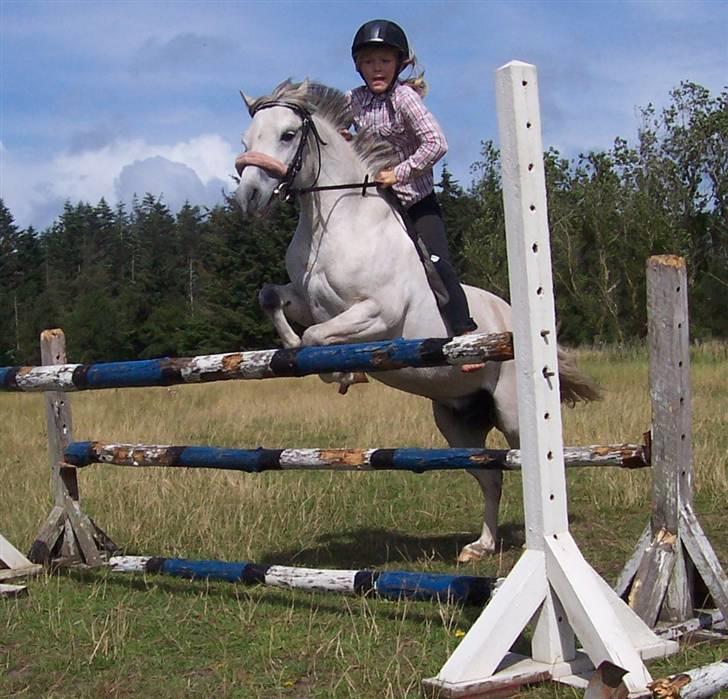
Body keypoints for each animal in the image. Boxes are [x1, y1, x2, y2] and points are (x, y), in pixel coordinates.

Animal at [235, 82, 596, 564]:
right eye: (246, 140)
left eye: (289, 134)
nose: (250, 197)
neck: (336, 222)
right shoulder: (308, 300)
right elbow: (273, 298)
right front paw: (294, 348)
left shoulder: (377, 316)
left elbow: (318, 336)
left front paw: (343, 372)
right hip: (456, 421)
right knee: (490, 475)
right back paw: (480, 547)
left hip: (513, 413)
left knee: (523, 463)